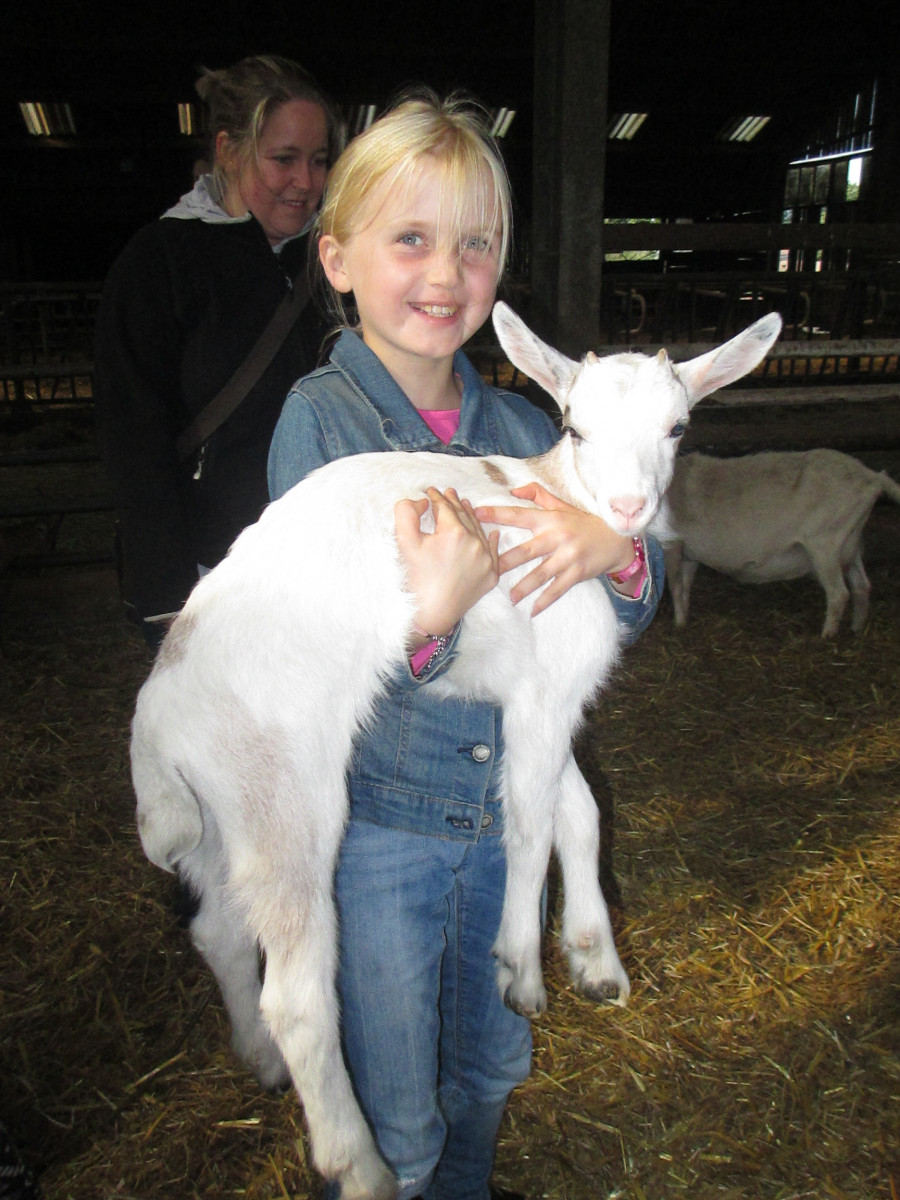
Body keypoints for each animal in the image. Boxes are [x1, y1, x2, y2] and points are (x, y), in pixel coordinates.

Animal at [663, 448, 900, 637]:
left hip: (826, 543)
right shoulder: (690, 552)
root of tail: (872, 478)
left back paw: (827, 635)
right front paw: (685, 618)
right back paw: (856, 629)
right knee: (861, 586)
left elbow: (674, 584)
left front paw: (678, 623)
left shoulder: (671, 542)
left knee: (839, 594)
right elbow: (685, 585)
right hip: (850, 542)